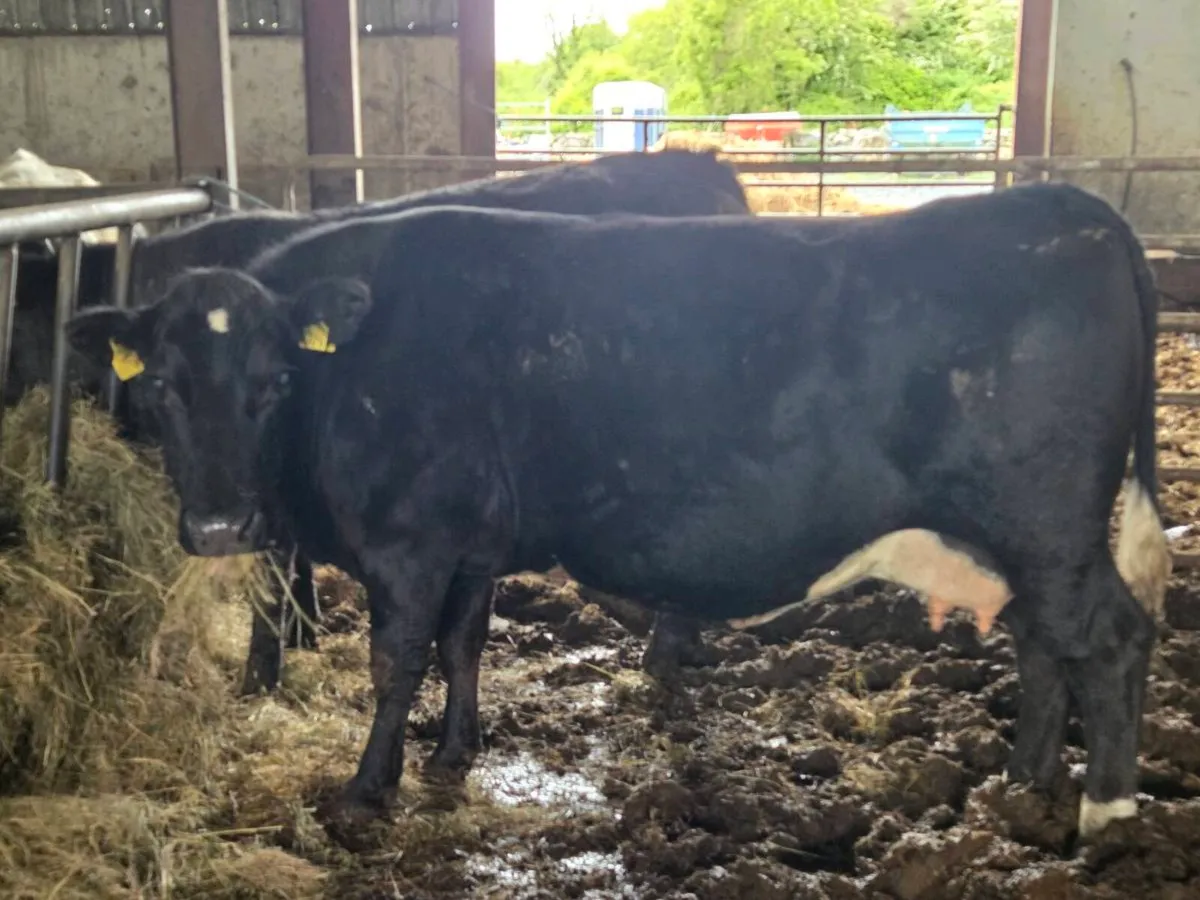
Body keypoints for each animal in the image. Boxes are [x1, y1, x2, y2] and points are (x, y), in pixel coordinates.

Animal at [7, 149, 750, 695]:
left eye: (275, 384)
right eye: (160, 384)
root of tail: (696, 166)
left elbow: (274, 575)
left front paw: (261, 675)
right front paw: (305, 634)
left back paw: (666, 652)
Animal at [64, 180, 1170, 841]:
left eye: (273, 383)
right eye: (162, 390)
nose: (219, 529)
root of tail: (1061, 202)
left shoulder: (410, 543)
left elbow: (395, 662)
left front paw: (365, 791)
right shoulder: (471, 546)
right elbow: (464, 644)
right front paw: (455, 753)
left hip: (1048, 525)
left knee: (1107, 639)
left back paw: (1106, 814)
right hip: (1023, 540)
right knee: (1043, 642)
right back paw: (1022, 783)